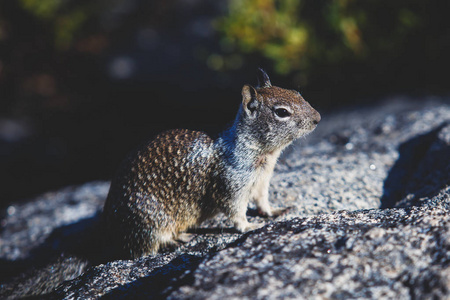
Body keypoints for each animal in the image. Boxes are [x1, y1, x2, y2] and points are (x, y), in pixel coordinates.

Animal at [103, 69, 320, 258]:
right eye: (282, 112)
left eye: (297, 93)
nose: (317, 118)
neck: (264, 154)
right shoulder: (231, 185)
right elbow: (236, 212)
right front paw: (250, 226)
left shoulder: (261, 181)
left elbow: (262, 200)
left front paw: (275, 211)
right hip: (148, 220)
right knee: (148, 245)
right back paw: (178, 238)